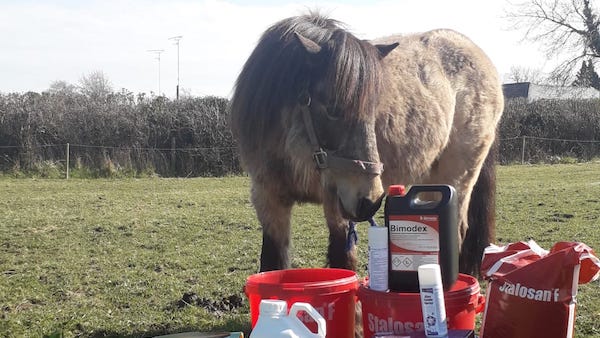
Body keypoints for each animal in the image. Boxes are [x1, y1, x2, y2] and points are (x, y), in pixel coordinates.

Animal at [230, 13, 502, 278]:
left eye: (372, 111)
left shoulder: (337, 203)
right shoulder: (269, 200)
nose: (370, 201)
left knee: (459, 230)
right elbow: (272, 263)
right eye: (332, 109)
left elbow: (343, 260)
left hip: (458, 177)